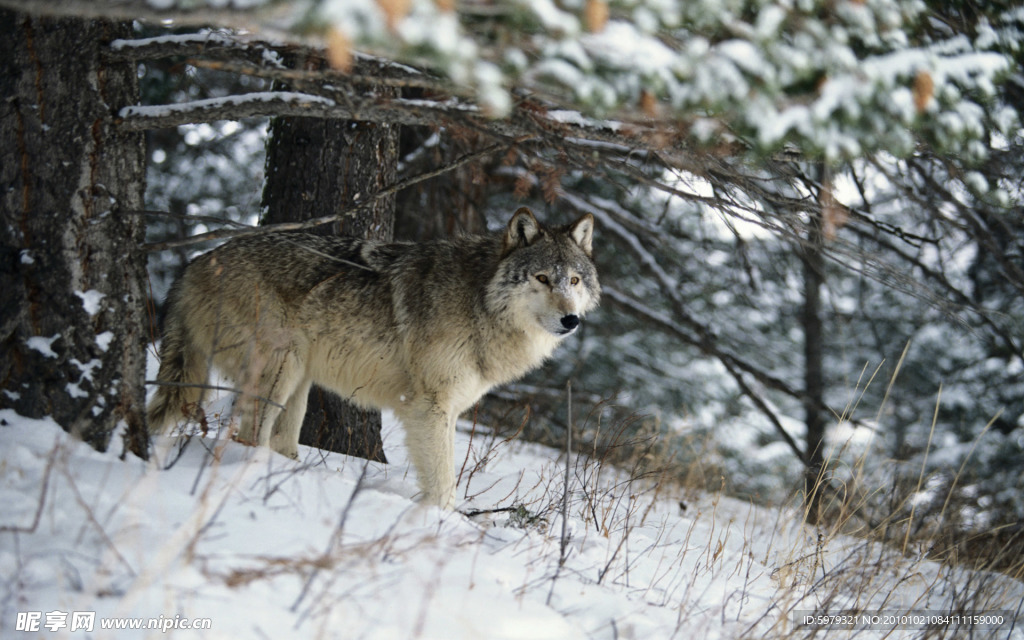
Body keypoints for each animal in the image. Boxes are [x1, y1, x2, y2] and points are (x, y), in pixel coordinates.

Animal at [148, 206, 602, 505]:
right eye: (541, 278)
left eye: (574, 281)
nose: (570, 320)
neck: (479, 301)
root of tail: (196, 262)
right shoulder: (430, 407)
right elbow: (443, 483)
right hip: (279, 370)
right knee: (248, 437)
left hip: (298, 381)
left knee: (279, 441)